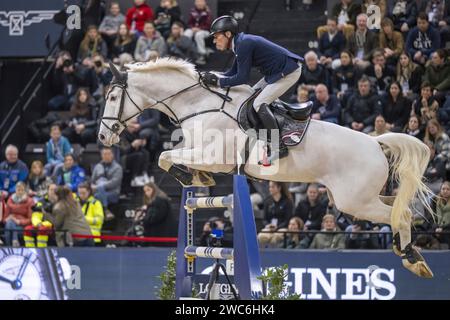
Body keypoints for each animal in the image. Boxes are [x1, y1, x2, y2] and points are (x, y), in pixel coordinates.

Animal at [100, 57, 434, 278]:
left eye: (113, 96)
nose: (103, 137)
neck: (198, 105)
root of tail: (376, 143)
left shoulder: (212, 156)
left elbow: (164, 156)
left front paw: (193, 176)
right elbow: (167, 157)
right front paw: (195, 177)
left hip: (354, 201)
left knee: (401, 214)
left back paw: (411, 258)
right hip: (360, 199)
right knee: (400, 206)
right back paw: (408, 250)